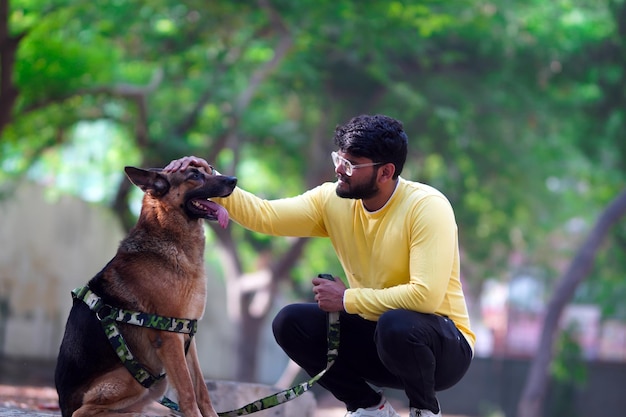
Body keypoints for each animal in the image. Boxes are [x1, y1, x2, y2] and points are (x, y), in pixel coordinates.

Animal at [54, 166, 236, 416]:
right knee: (84, 412)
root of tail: (63, 403)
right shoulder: (170, 337)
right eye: (194, 175)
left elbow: (202, 391)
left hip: (156, 383)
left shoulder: (187, 335)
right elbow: (188, 392)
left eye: (209, 170)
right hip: (131, 380)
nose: (234, 180)